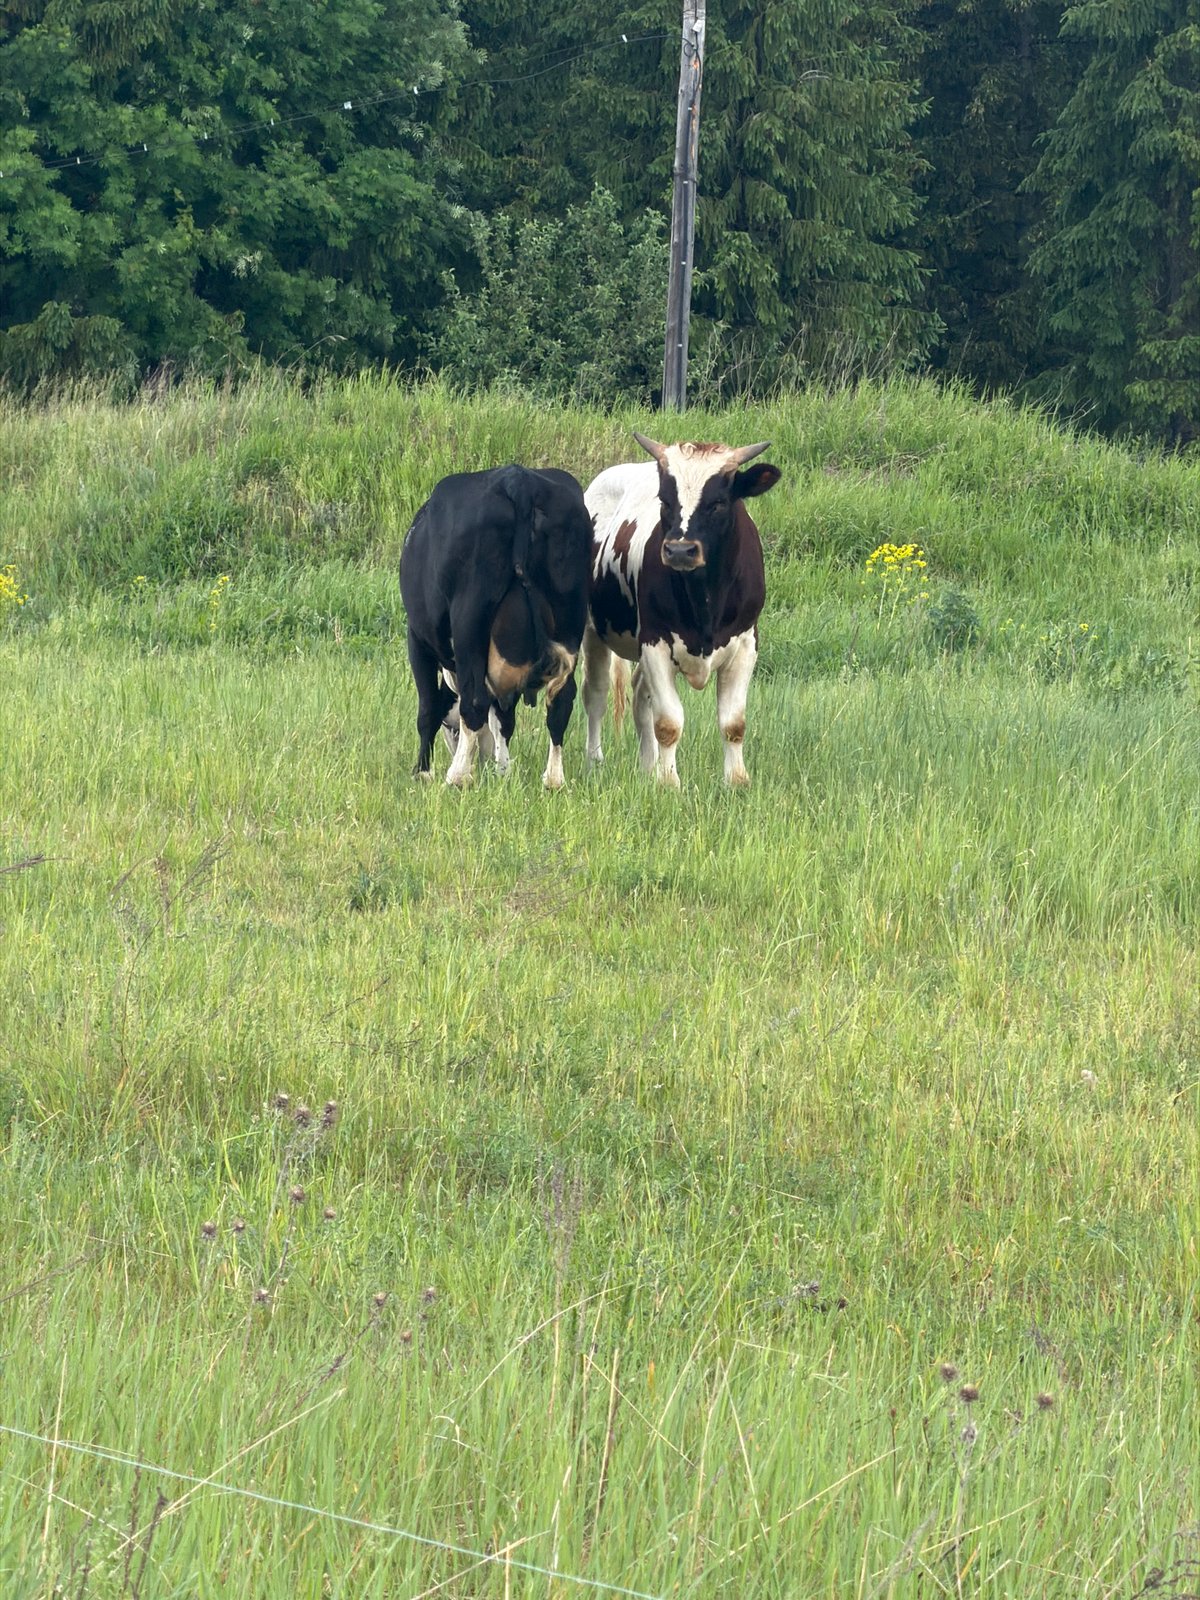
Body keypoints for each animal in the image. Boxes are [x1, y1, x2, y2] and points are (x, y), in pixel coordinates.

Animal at [399, 465, 592, 788]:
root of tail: (518, 479)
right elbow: (503, 719)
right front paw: (502, 770)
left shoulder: (417, 638)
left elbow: (428, 709)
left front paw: (422, 773)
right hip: (570, 620)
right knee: (560, 702)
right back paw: (553, 780)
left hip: (469, 618)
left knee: (474, 702)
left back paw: (457, 777)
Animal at [582, 433, 781, 787]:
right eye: (665, 502)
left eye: (719, 503)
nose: (679, 550)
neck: (705, 600)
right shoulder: (655, 643)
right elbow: (668, 723)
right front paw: (669, 783)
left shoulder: (746, 644)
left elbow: (733, 723)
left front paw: (737, 781)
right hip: (593, 632)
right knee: (596, 695)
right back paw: (595, 762)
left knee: (640, 695)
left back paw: (648, 767)